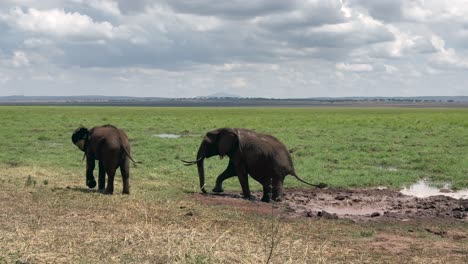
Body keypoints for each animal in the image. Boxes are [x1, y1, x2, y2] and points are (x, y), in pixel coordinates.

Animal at [182, 128, 326, 202]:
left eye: (207, 144)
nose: (205, 192)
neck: (226, 129)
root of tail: (292, 167)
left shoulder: (238, 151)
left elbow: (239, 172)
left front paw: (246, 197)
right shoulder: (234, 152)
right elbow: (231, 170)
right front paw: (217, 191)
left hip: (277, 168)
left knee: (275, 182)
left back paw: (276, 200)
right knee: (267, 183)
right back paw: (265, 200)